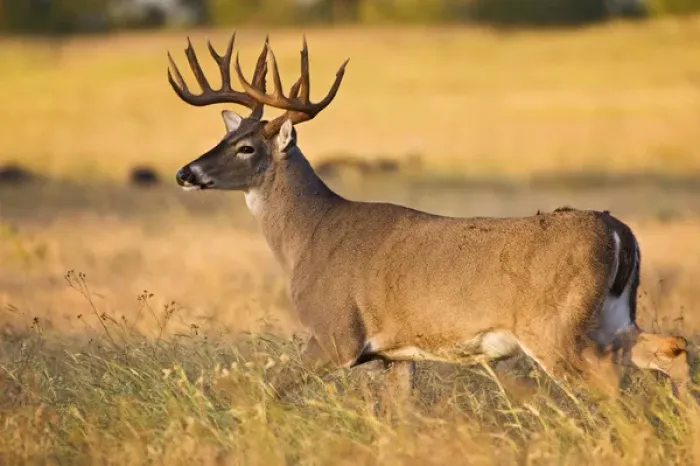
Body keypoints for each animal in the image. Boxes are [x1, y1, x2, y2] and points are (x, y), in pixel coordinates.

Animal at [167, 32, 691, 404]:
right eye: (225, 138)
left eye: (246, 147)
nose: (185, 172)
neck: (309, 236)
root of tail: (620, 231)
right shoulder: (395, 356)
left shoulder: (336, 333)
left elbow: (265, 390)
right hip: (611, 315)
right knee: (671, 348)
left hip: (554, 325)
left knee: (608, 376)